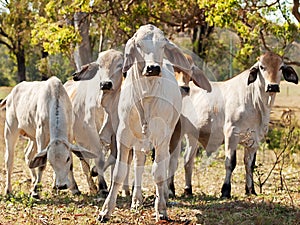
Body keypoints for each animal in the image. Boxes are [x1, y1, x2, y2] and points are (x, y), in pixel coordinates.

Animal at [65, 49, 124, 195]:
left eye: (120, 65)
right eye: (99, 66)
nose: (105, 84)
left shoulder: (114, 134)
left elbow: (113, 157)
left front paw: (96, 174)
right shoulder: (91, 130)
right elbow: (100, 158)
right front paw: (102, 187)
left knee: (83, 161)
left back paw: (92, 187)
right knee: (70, 162)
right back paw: (74, 187)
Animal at [92, 24, 211, 221]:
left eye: (162, 45)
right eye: (139, 44)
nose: (153, 68)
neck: (146, 97)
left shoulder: (162, 139)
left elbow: (158, 173)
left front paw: (161, 209)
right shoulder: (123, 137)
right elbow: (119, 173)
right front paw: (105, 211)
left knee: (164, 166)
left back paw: (163, 196)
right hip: (139, 141)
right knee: (138, 165)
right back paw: (136, 200)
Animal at [169, 51, 298, 199]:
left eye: (281, 67)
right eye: (261, 67)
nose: (273, 86)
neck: (257, 104)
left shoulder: (255, 139)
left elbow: (250, 164)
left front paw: (250, 190)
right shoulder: (231, 134)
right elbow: (230, 163)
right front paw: (225, 191)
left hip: (192, 136)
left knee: (188, 161)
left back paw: (188, 190)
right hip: (176, 133)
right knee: (172, 160)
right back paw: (171, 190)